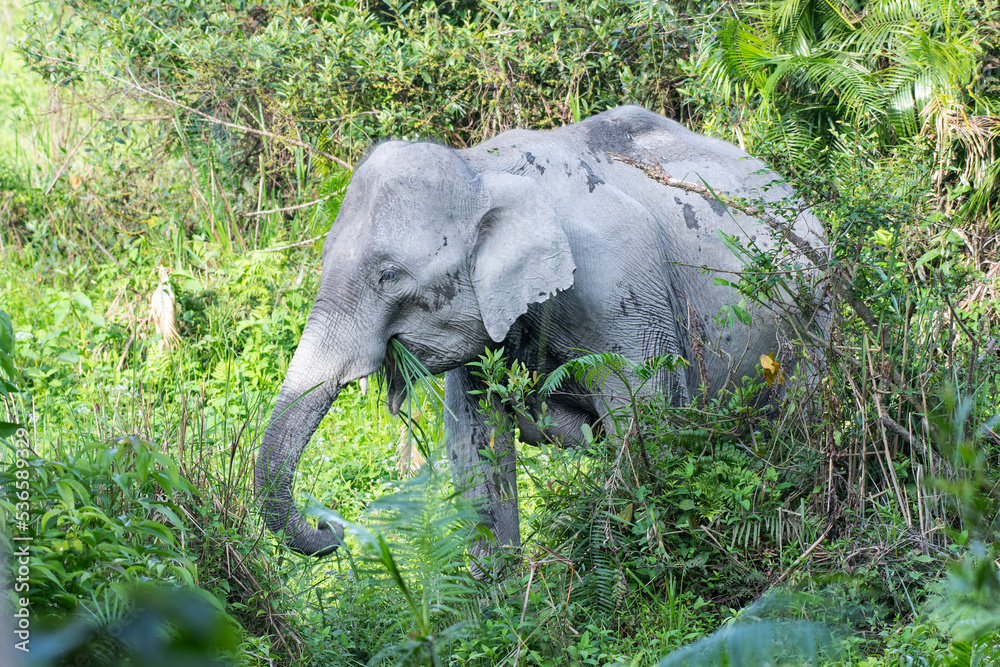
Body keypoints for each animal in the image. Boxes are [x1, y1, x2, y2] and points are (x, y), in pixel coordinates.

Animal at [254, 105, 826, 563]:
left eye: (388, 275)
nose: (330, 529)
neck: (481, 168)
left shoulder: (622, 287)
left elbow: (649, 426)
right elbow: (477, 449)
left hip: (812, 317)